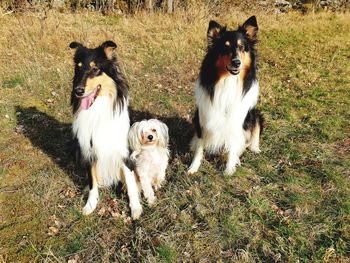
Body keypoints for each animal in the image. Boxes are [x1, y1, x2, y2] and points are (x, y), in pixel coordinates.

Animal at [69, 40, 142, 221]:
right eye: (78, 68)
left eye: (95, 69)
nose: (78, 91)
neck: (97, 110)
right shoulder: (89, 152)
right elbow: (92, 183)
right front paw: (90, 205)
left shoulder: (124, 154)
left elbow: (131, 182)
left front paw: (135, 208)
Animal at [187, 16, 264, 176]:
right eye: (225, 47)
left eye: (242, 47)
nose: (236, 63)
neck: (228, 80)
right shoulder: (203, 118)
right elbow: (199, 147)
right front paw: (193, 167)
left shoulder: (237, 121)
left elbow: (233, 147)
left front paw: (229, 169)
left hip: (254, 114)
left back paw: (253, 148)